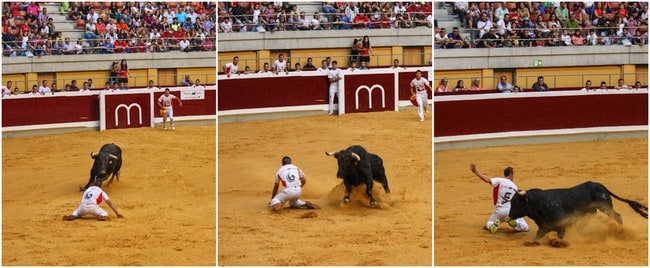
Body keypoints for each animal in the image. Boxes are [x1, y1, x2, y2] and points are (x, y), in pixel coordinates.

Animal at [508, 181, 644, 244]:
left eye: (516, 202)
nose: (509, 216)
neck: (539, 203)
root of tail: (597, 184)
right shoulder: (544, 227)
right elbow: (537, 236)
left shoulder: (561, 225)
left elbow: (561, 236)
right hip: (594, 210)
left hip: (605, 206)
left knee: (617, 216)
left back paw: (621, 231)